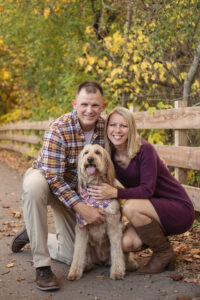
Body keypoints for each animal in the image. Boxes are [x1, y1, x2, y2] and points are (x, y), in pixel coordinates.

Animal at [67, 144, 138, 280]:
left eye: (97, 152)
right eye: (86, 153)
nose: (90, 159)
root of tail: (102, 261)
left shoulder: (114, 225)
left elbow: (117, 252)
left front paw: (117, 271)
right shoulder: (82, 227)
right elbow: (78, 252)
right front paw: (74, 272)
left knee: (123, 256)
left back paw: (130, 264)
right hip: (89, 247)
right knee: (86, 256)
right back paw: (86, 266)